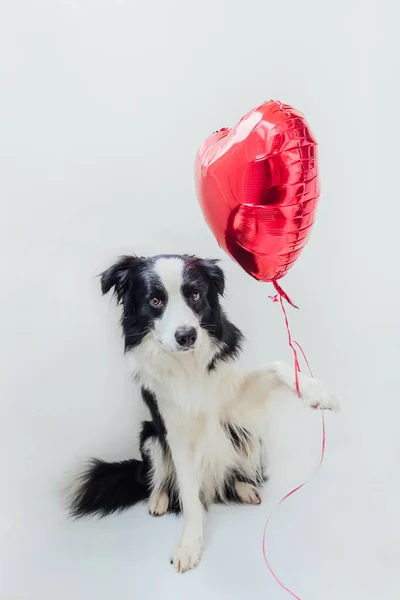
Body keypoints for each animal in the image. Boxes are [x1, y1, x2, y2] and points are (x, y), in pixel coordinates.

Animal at [69, 253, 338, 572]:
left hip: (247, 434)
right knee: (155, 477)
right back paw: (158, 500)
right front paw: (189, 546)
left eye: (195, 295)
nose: (186, 336)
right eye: (155, 300)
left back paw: (244, 488)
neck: (188, 364)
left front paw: (317, 392)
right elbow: (188, 494)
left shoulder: (233, 400)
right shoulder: (175, 431)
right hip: (149, 435)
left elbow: (276, 366)